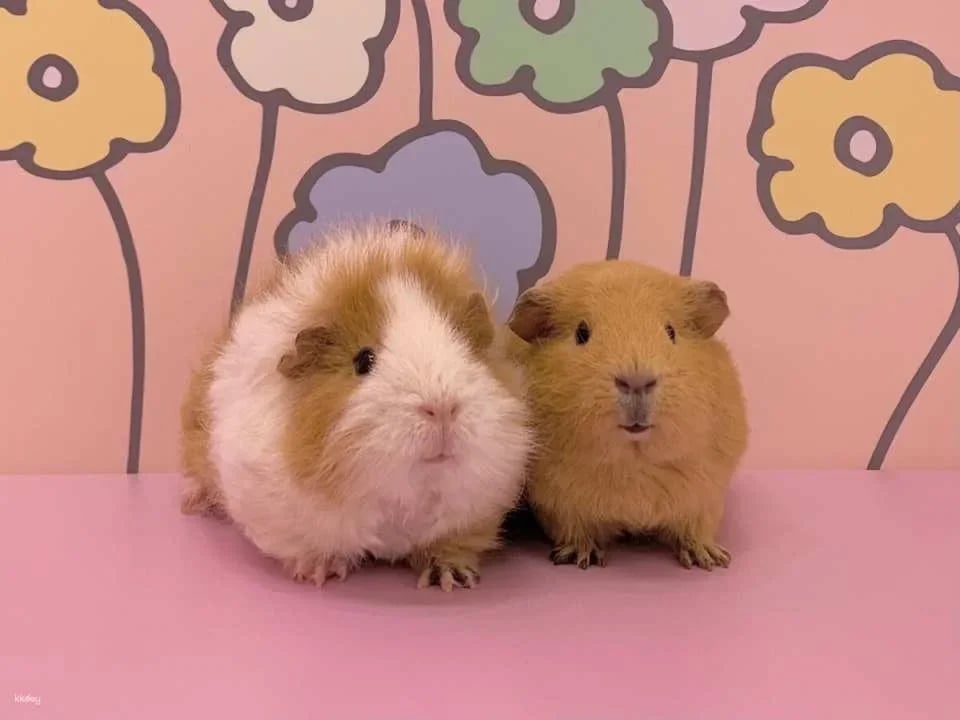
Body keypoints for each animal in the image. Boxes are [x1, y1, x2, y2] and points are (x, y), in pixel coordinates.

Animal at [180, 221, 531, 591]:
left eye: (465, 349)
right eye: (363, 361)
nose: (442, 407)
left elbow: (449, 545)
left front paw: (451, 579)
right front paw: (319, 573)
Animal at [507, 260, 748, 571]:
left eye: (671, 332)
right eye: (581, 333)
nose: (636, 381)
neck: (635, 461)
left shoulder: (707, 497)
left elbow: (696, 529)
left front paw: (708, 560)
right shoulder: (558, 504)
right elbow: (575, 530)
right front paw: (580, 558)